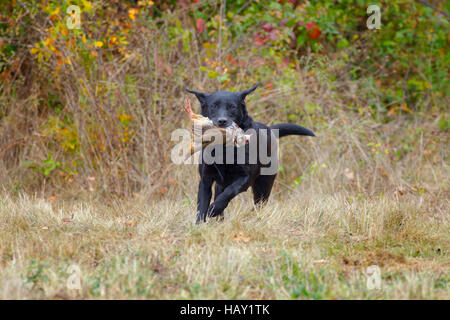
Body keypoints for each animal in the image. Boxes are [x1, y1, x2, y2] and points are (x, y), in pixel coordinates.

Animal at [185, 84, 314, 224]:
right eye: (213, 106)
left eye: (232, 107)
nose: (222, 121)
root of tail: (270, 130)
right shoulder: (205, 180)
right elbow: (202, 205)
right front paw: (199, 224)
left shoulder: (246, 177)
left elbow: (230, 191)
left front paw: (214, 208)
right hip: (222, 184)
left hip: (263, 186)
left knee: (259, 204)